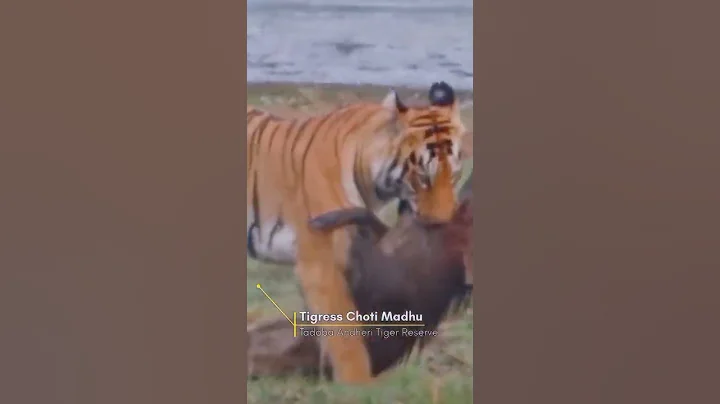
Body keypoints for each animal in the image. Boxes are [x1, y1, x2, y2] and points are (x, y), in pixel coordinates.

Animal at [246, 81, 468, 383]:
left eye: (454, 174)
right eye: (423, 177)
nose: (443, 223)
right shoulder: (321, 262)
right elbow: (345, 334)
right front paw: (360, 386)